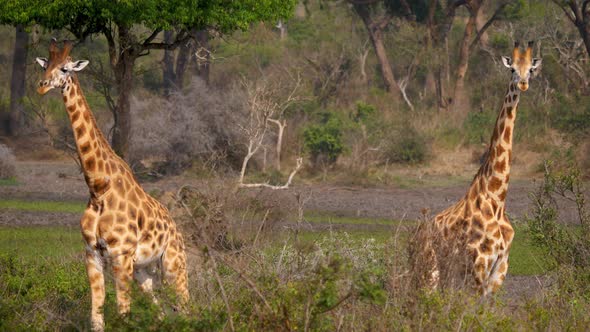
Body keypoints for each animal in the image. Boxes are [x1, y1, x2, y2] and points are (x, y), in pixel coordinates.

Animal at [34, 40, 191, 330]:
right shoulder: (92, 254)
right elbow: (97, 315)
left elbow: (123, 312)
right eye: (45, 65)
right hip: (144, 272)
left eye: (64, 68)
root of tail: (176, 228)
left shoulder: (121, 254)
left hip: (173, 264)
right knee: (161, 311)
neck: (98, 188)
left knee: (185, 306)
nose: (42, 85)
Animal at [414, 40, 544, 296]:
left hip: (445, 275)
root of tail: (419, 234)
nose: (523, 84)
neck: (496, 198)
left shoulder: (499, 270)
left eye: (531, 70)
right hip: (429, 270)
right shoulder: (478, 266)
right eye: (512, 69)